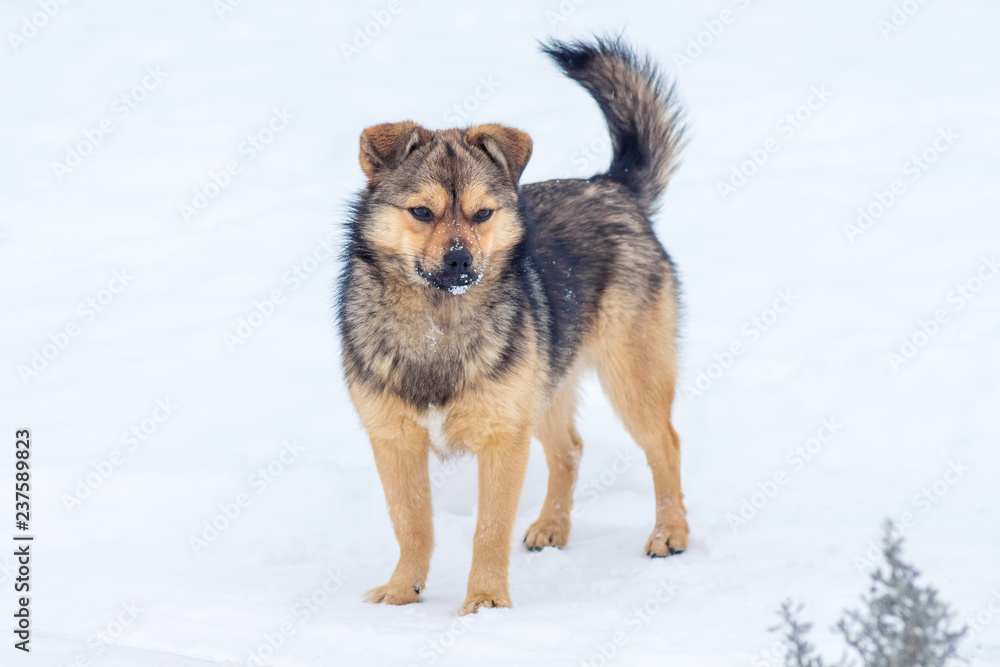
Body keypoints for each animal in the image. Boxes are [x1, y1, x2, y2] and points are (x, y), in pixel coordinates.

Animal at [336, 36, 688, 616]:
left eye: (482, 214)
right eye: (422, 212)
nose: (460, 261)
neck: (440, 324)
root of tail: (612, 187)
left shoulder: (503, 438)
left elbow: (489, 530)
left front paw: (485, 604)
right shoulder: (394, 438)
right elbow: (411, 524)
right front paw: (402, 592)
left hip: (629, 376)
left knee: (665, 445)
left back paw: (670, 533)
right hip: (545, 385)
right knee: (570, 449)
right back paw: (552, 527)